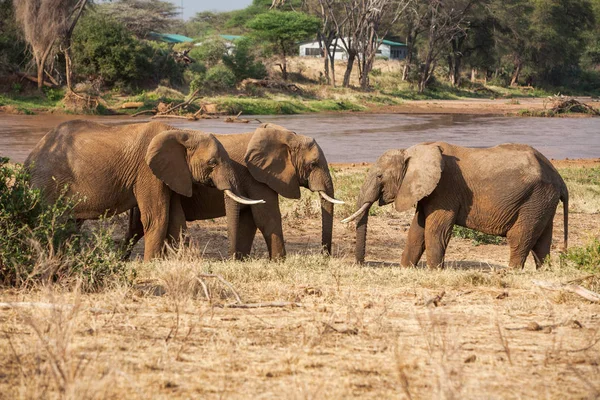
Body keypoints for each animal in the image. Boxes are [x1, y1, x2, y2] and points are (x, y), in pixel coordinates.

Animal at [24, 120, 262, 260]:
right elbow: (156, 218)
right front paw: (152, 264)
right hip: (47, 183)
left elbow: (174, 219)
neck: (181, 133)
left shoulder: (170, 174)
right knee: (52, 222)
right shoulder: (147, 171)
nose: (233, 259)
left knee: (71, 225)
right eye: (212, 162)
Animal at [126, 122, 342, 260]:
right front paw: (280, 261)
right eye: (313, 164)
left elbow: (250, 221)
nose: (325, 257)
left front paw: (241, 261)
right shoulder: (257, 176)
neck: (286, 136)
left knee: (137, 227)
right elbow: (266, 217)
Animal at [342, 141, 568, 268]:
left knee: (520, 237)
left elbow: (435, 230)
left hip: (536, 198)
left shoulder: (445, 189)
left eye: (380, 176)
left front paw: (434, 272)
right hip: (543, 202)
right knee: (541, 243)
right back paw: (542, 273)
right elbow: (417, 230)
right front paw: (406, 269)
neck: (410, 151)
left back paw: (511, 274)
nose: (360, 265)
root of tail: (559, 179)